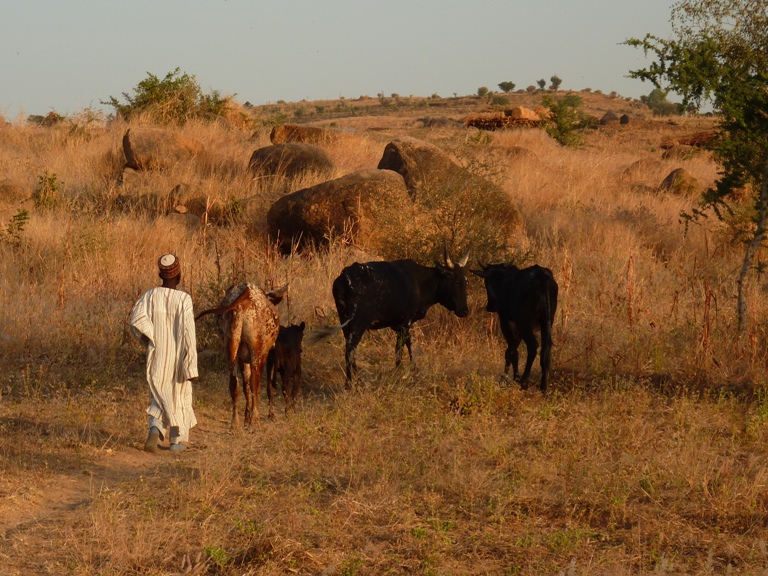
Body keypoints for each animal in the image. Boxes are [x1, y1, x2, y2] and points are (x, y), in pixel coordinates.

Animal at [196, 282, 286, 428]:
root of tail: (246, 292)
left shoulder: (241, 359)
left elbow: (245, 385)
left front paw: (246, 418)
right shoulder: (263, 354)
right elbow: (258, 385)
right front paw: (252, 417)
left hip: (231, 346)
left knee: (234, 383)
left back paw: (235, 423)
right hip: (256, 350)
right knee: (255, 382)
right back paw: (255, 420)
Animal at [332, 250, 472, 384]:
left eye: (466, 281)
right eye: (456, 281)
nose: (465, 311)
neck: (420, 281)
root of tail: (345, 277)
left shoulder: (397, 325)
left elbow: (404, 345)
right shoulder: (405, 322)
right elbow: (402, 348)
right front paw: (404, 371)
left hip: (345, 322)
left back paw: (356, 379)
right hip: (358, 324)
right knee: (350, 351)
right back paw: (350, 383)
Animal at [468, 264, 560, 392]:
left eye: (486, 282)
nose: (490, 306)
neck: (504, 282)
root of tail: (541, 278)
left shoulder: (506, 324)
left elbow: (511, 352)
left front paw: (508, 379)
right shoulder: (519, 330)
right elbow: (512, 351)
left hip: (524, 324)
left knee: (533, 346)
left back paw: (524, 382)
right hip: (547, 322)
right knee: (546, 349)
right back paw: (543, 388)